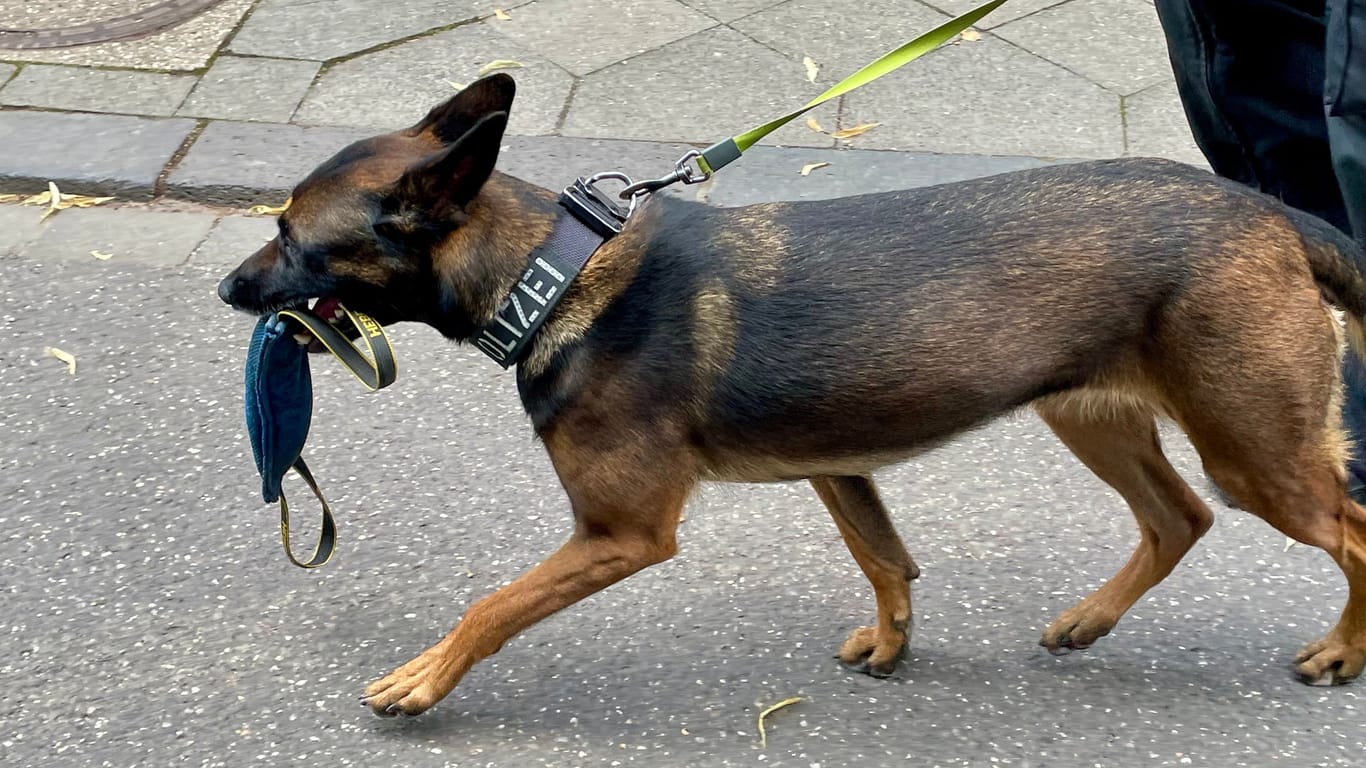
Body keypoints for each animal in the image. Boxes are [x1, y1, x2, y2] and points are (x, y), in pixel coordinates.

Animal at [215, 74, 1366, 716]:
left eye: (292, 237)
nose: (227, 289)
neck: (554, 274)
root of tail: (1268, 213)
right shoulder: (837, 468)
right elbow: (887, 563)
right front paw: (892, 646)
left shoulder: (621, 534)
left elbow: (490, 604)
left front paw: (423, 679)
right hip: (1092, 415)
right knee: (1177, 520)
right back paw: (1087, 621)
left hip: (1257, 453)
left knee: (1345, 533)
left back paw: (1342, 651)